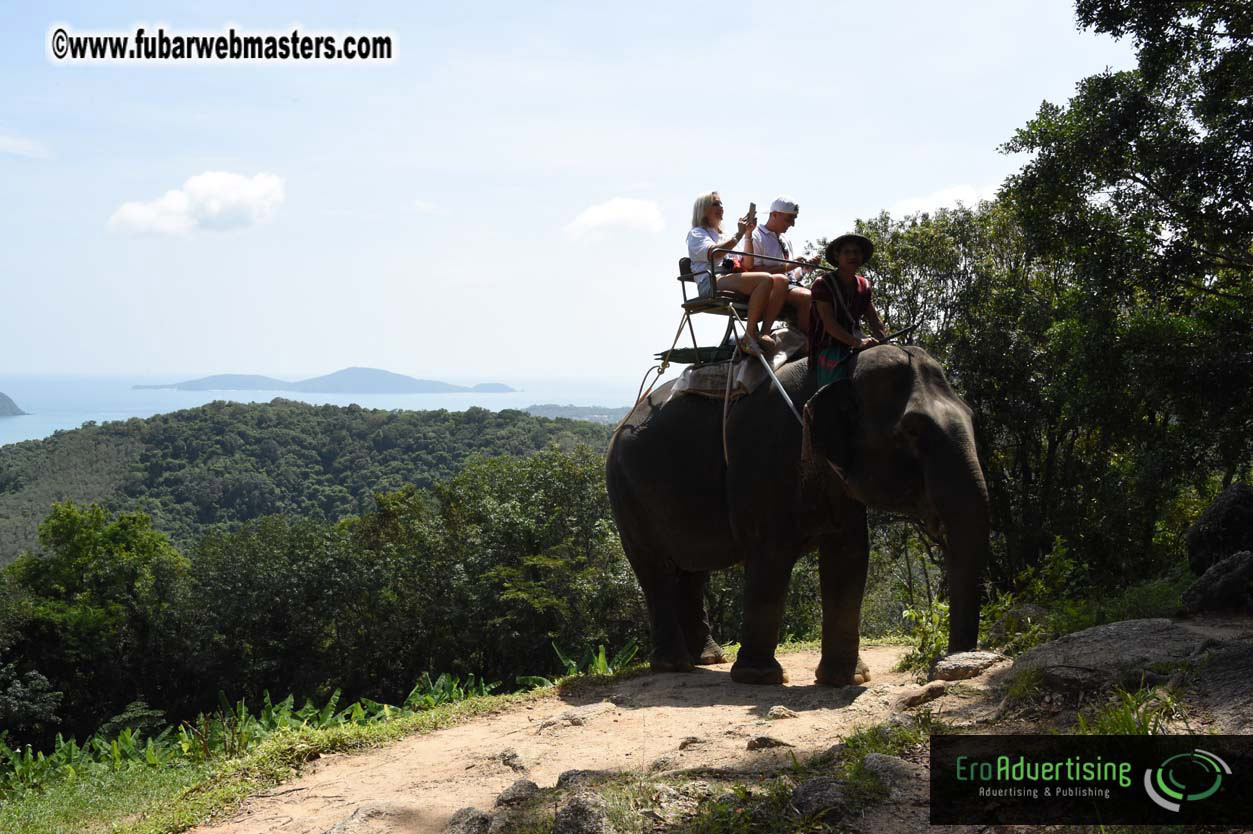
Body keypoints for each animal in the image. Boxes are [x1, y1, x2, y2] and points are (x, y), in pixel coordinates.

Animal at [605, 344, 989, 685]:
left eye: (972, 416)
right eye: (912, 430)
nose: (951, 663)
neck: (840, 369)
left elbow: (849, 555)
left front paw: (846, 679)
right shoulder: (762, 459)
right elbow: (771, 555)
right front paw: (760, 678)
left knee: (693, 569)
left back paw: (709, 659)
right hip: (624, 492)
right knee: (654, 568)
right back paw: (674, 665)